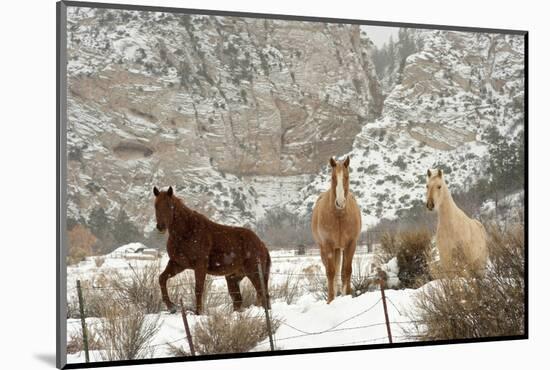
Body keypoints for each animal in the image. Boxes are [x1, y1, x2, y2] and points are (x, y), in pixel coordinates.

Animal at [153, 186, 272, 314]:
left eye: (169, 205)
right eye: (156, 205)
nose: (161, 226)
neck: (187, 231)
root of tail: (262, 244)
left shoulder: (200, 265)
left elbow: (198, 288)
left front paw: (198, 312)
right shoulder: (178, 264)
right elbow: (162, 279)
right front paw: (172, 306)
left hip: (254, 273)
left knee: (262, 294)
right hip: (233, 278)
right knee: (238, 300)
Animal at [312, 156, 364, 304]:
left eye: (347, 176)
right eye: (333, 177)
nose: (340, 202)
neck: (339, 215)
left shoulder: (351, 244)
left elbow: (346, 271)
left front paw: (347, 295)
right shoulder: (328, 245)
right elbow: (331, 272)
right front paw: (330, 300)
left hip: (339, 249)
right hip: (326, 249)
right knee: (331, 273)